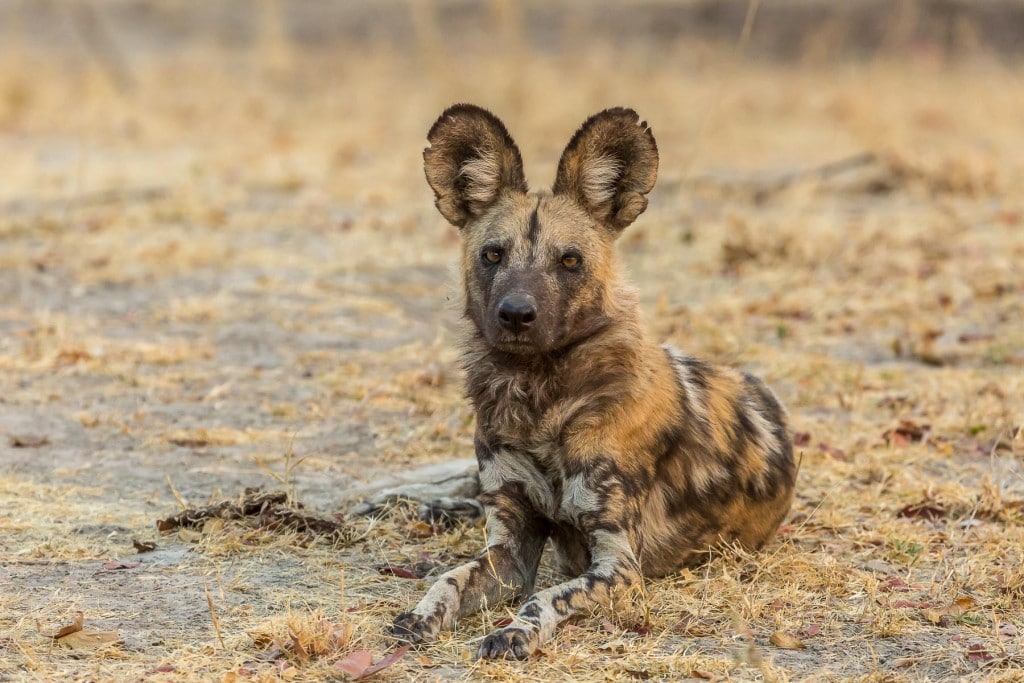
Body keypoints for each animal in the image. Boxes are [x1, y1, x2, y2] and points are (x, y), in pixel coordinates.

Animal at [387, 104, 794, 659]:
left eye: (569, 260)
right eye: (492, 255)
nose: (517, 314)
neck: (540, 399)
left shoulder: (618, 568)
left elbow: (544, 598)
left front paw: (512, 633)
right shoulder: (510, 549)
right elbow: (448, 579)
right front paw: (419, 616)